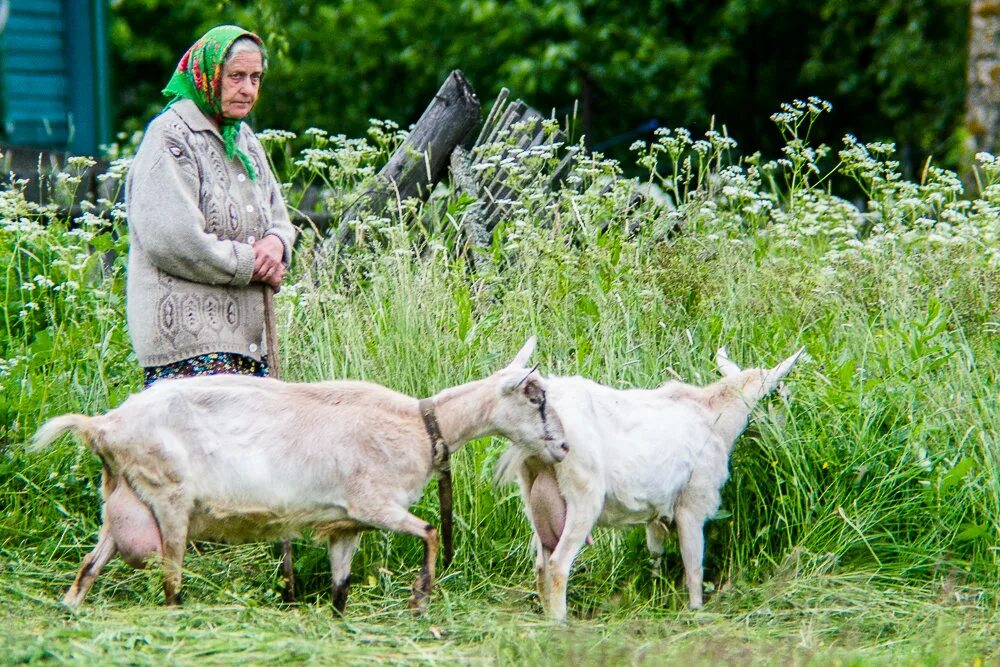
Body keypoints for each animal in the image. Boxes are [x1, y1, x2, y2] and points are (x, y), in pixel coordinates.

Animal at [32, 337, 568, 612]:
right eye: (535, 396)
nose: (563, 446)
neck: (421, 425)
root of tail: (104, 425)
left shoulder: (346, 523)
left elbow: (340, 590)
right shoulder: (374, 502)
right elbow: (432, 530)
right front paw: (421, 597)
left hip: (124, 501)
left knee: (88, 568)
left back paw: (71, 608)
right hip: (169, 498)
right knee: (170, 581)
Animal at [497, 346, 804, 620]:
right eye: (781, 393)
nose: (788, 431)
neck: (714, 414)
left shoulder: (657, 510)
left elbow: (655, 553)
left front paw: (657, 593)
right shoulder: (692, 502)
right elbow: (694, 565)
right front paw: (696, 610)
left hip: (534, 495)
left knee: (541, 565)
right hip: (583, 495)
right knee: (558, 564)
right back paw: (560, 622)